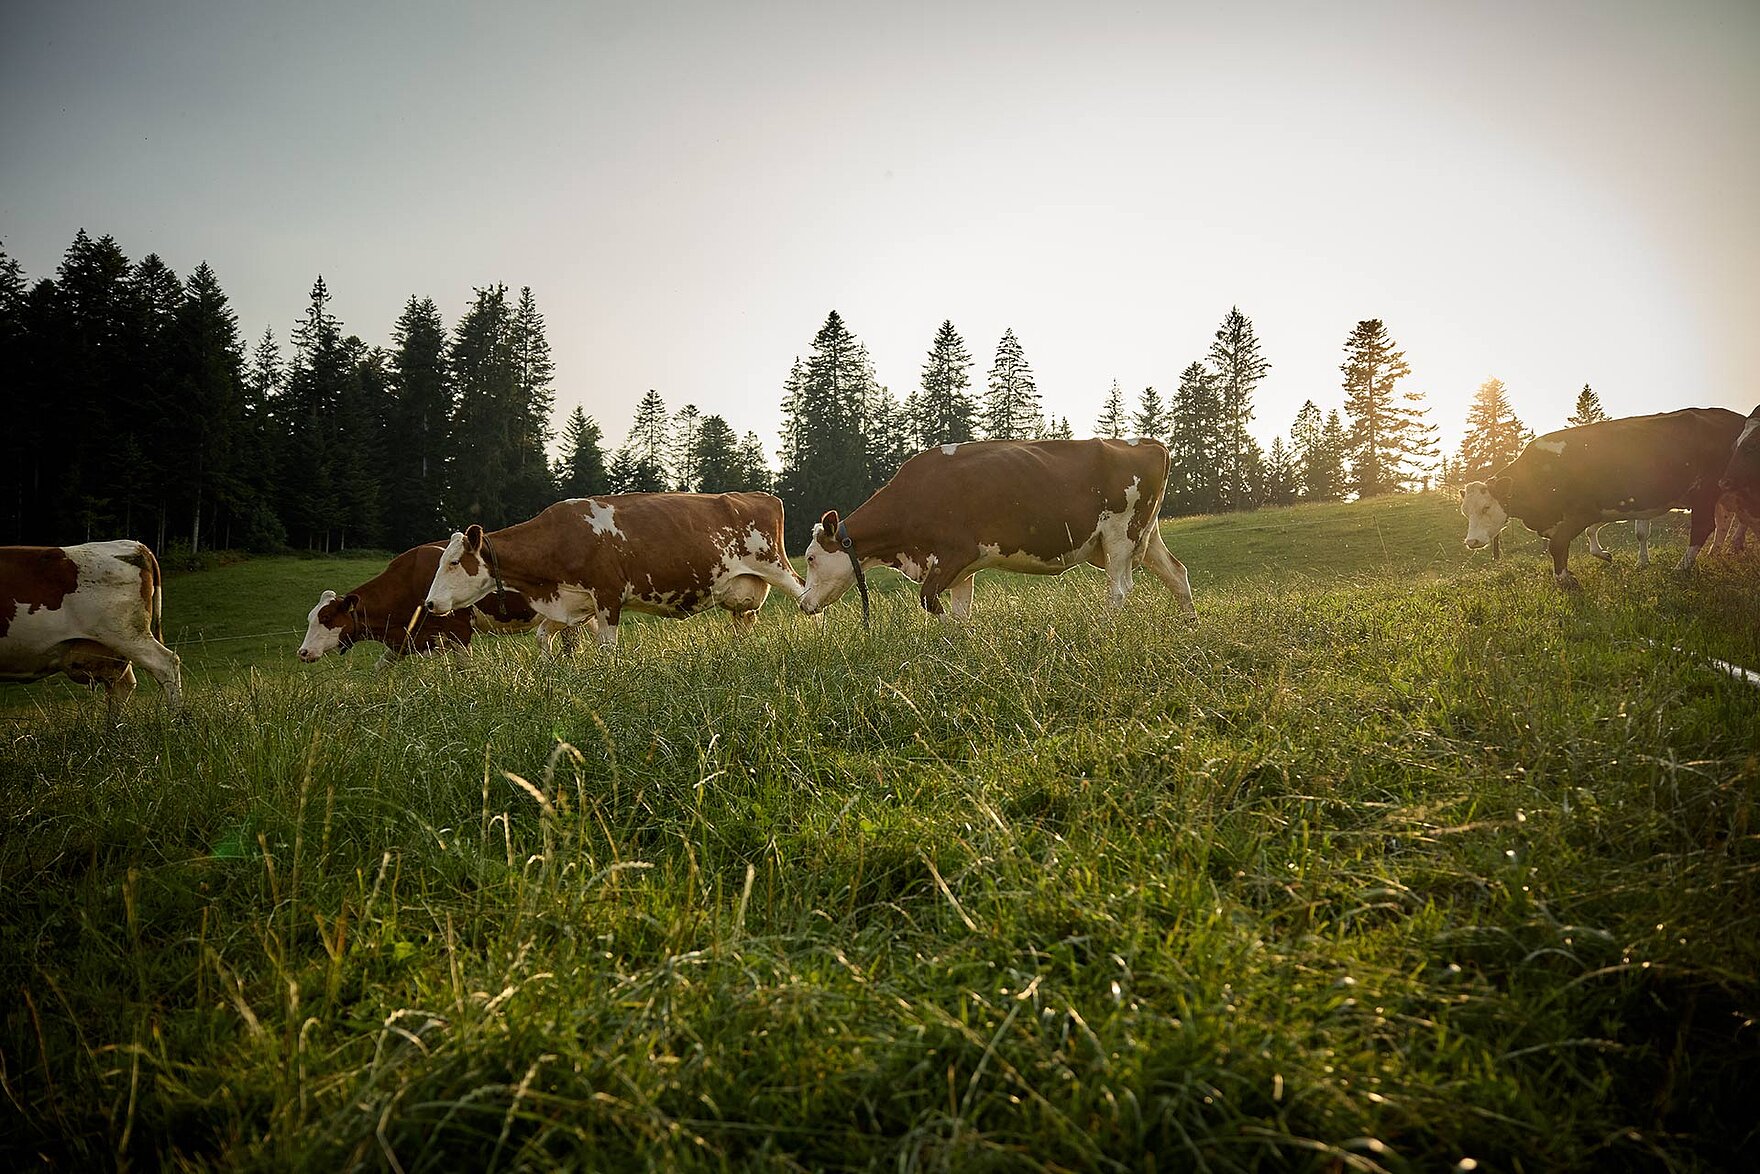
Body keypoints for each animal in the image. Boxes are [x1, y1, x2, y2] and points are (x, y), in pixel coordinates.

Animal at [295, 545, 577, 668]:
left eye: (327, 618)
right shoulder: (407, 639)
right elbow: (380, 668)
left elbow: (465, 669)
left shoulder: (459, 629)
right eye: (310, 618)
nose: (303, 652)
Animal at [418, 492, 806, 647]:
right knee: (745, 621)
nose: (430, 604)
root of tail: (760, 495)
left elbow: (607, 650)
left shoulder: (607, 596)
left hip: (775, 566)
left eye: (454, 562)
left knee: (807, 598)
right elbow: (544, 636)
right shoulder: (574, 602)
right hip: (743, 589)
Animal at [799, 436, 1196, 619]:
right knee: (1177, 573)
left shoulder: (955, 554)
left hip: (1118, 535)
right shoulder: (960, 570)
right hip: (1145, 535)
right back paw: (1188, 627)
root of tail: (1148, 442)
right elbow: (959, 613)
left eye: (811, 558)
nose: (802, 603)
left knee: (1119, 591)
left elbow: (930, 602)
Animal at [1457, 406, 1745, 587]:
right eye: (1465, 511)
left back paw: (1682, 567)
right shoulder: (1598, 510)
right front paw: (1604, 556)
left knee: (1705, 526)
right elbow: (1584, 537)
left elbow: (1558, 544)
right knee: (1725, 522)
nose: (1471, 541)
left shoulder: (1582, 511)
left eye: (1486, 507)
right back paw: (1718, 553)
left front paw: (1564, 579)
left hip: (1706, 491)